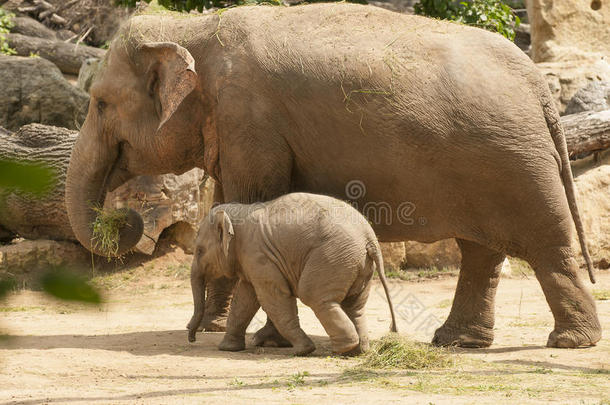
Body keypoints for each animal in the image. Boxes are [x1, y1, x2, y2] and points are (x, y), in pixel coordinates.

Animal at [188, 193, 396, 354]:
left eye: (199, 251)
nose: (192, 338)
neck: (241, 211)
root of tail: (370, 238)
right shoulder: (253, 262)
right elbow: (245, 299)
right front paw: (228, 348)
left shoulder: (260, 256)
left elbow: (273, 298)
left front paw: (303, 350)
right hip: (357, 264)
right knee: (355, 305)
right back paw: (358, 351)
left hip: (333, 256)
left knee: (314, 296)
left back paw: (343, 349)